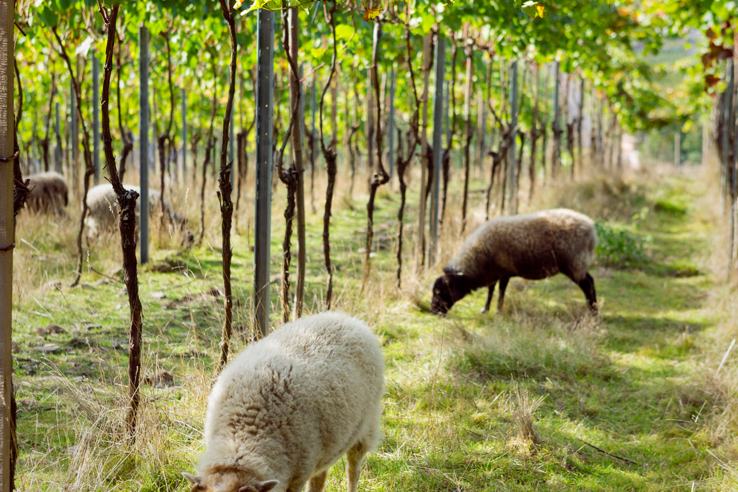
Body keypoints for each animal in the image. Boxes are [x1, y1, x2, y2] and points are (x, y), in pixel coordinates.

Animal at [183, 312, 386, 492]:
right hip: (328, 444)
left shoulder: (299, 474)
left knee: (353, 468)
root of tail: (348, 319)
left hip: (367, 425)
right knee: (320, 478)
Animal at [428, 208, 596, 316]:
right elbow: (491, 290)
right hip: (577, 262)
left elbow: (501, 290)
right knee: (590, 281)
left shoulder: (503, 271)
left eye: (439, 291)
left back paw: (592, 312)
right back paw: (593, 309)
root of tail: (591, 229)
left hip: (574, 262)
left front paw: (498, 311)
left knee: (587, 284)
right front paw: (485, 310)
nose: (434, 311)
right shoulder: (493, 272)